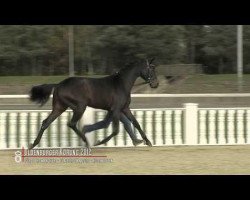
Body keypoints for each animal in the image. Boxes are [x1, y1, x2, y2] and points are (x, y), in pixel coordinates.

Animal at [29, 57, 158, 148]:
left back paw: (33, 144)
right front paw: (99, 142)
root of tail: (59, 85)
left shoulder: (125, 108)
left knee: (46, 123)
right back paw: (87, 142)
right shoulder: (116, 110)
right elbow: (116, 130)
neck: (121, 84)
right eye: (151, 69)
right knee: (71, 123)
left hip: (59, 107)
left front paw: (147, 141)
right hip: (80, 107)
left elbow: (136, 123)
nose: (155, 84)